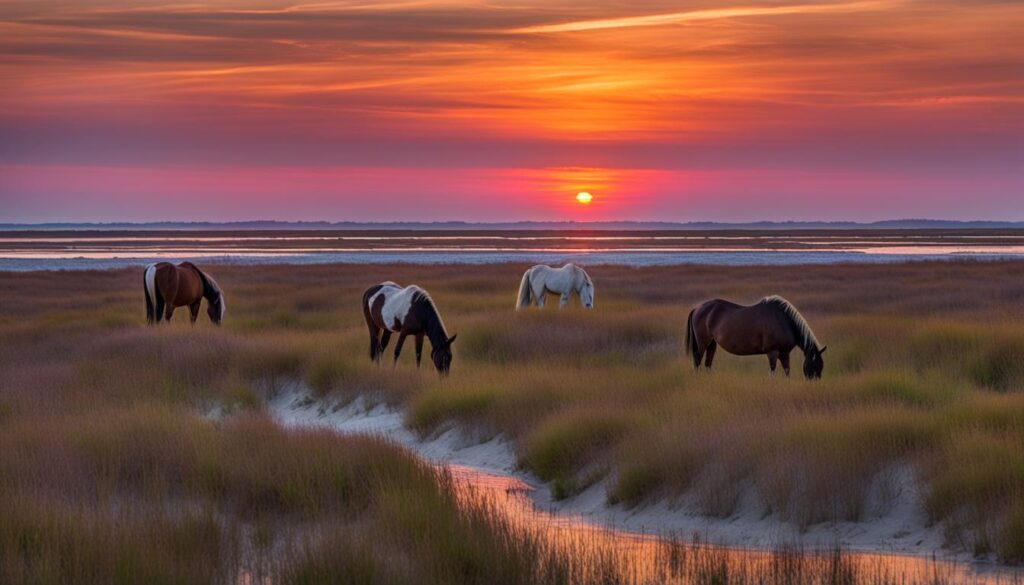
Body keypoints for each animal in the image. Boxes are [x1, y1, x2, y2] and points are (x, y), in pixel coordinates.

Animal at [688, 297, 823, 379]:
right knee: (697, 360)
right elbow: (772, 370)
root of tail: (698, 308)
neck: (783, 321)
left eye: (821, 366)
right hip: (702, 343)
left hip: (712, 343)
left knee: (707, 363)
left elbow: (787, 371)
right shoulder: (772, 352)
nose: (814, 383)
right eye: (815, 365)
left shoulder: (784, 353)